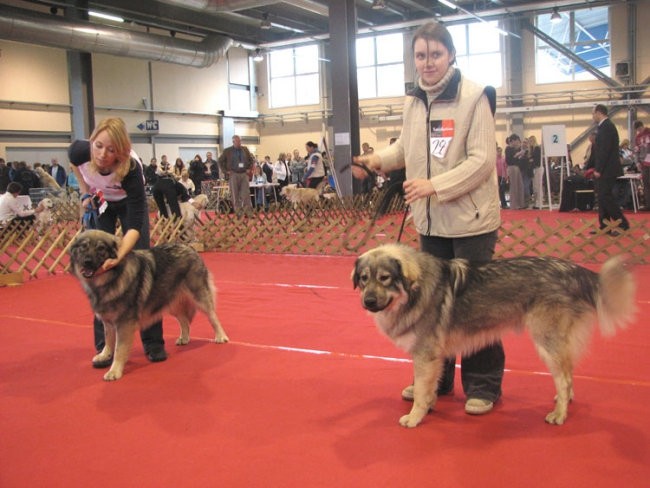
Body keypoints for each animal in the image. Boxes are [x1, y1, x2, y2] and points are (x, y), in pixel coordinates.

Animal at [69, 230, 228, 382]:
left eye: (101, 248)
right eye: (83, 247)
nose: (87, 262)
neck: (112, 278)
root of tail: (190, 247)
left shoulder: (124, 324)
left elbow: (119, 349)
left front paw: (114, 371)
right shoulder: (108, 321)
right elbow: (108, 340)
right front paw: (104, 355)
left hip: (198, 296)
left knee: (213, 316)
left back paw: (221, 336)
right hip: (169, 301)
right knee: (184, 320)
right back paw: (184, 337)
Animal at [352, 244, 636, 428]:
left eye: (385, 278)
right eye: (364, 279)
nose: (368, 302)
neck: (415, 289)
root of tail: (573, 269)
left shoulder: (426, 355)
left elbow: (422, 391)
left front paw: (414, 417)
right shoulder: (435, 358)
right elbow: (429, 387)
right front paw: (430, 405)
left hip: (546, 342)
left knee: (563, 378)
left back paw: (559, 415)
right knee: (568, 371)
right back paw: (563, 401)